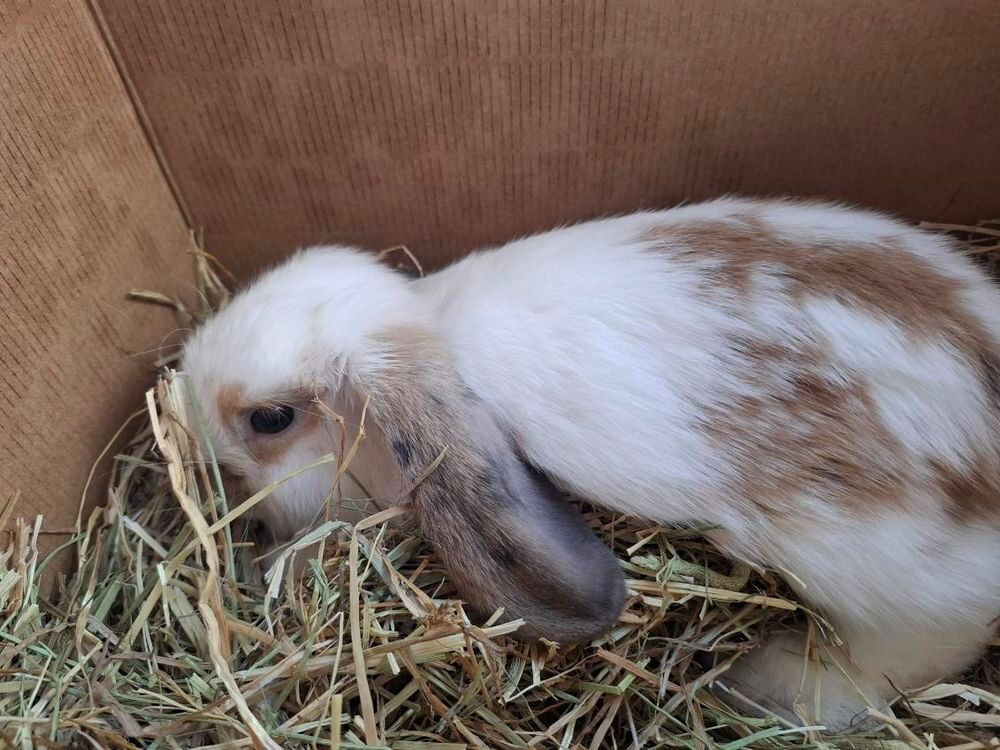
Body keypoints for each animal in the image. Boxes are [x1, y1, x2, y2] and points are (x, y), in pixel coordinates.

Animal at [180, 197, 1000, 732]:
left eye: (270, 419)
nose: (203, 450)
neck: (432, 328)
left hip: (887, 588)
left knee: (912, 651)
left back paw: (763, 683)